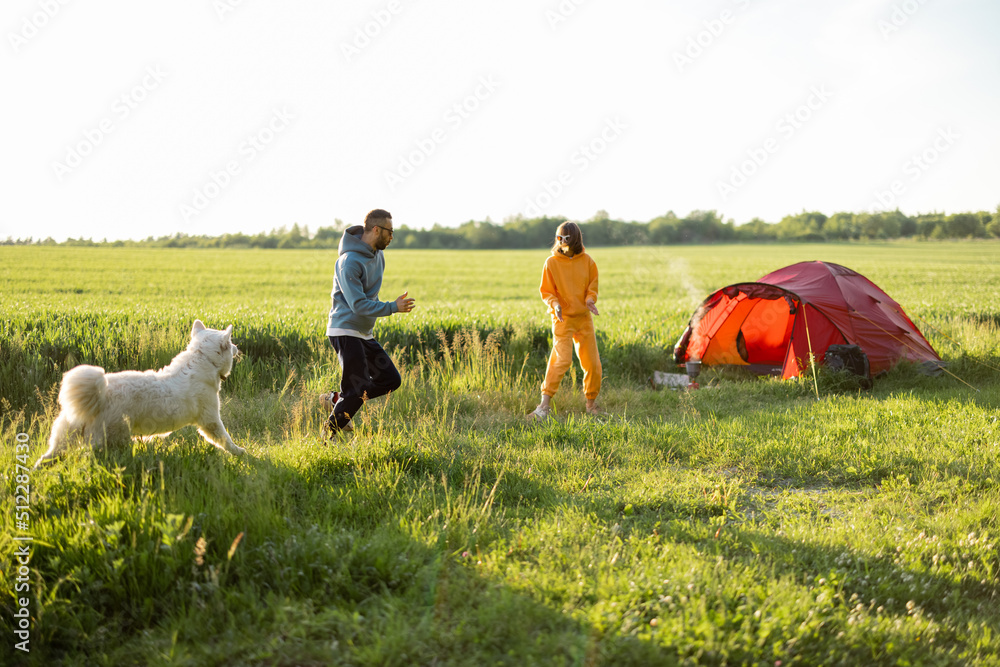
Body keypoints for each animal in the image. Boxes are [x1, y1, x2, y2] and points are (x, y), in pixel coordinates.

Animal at [36, 320, 247, 468]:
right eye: (230, 342)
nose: (238, 347)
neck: (201, 358)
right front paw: (239, 452)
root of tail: (97, 397)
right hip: (112, 439)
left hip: (65, 437)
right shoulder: (210, 420)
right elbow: (225, 439)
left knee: (47, 458)